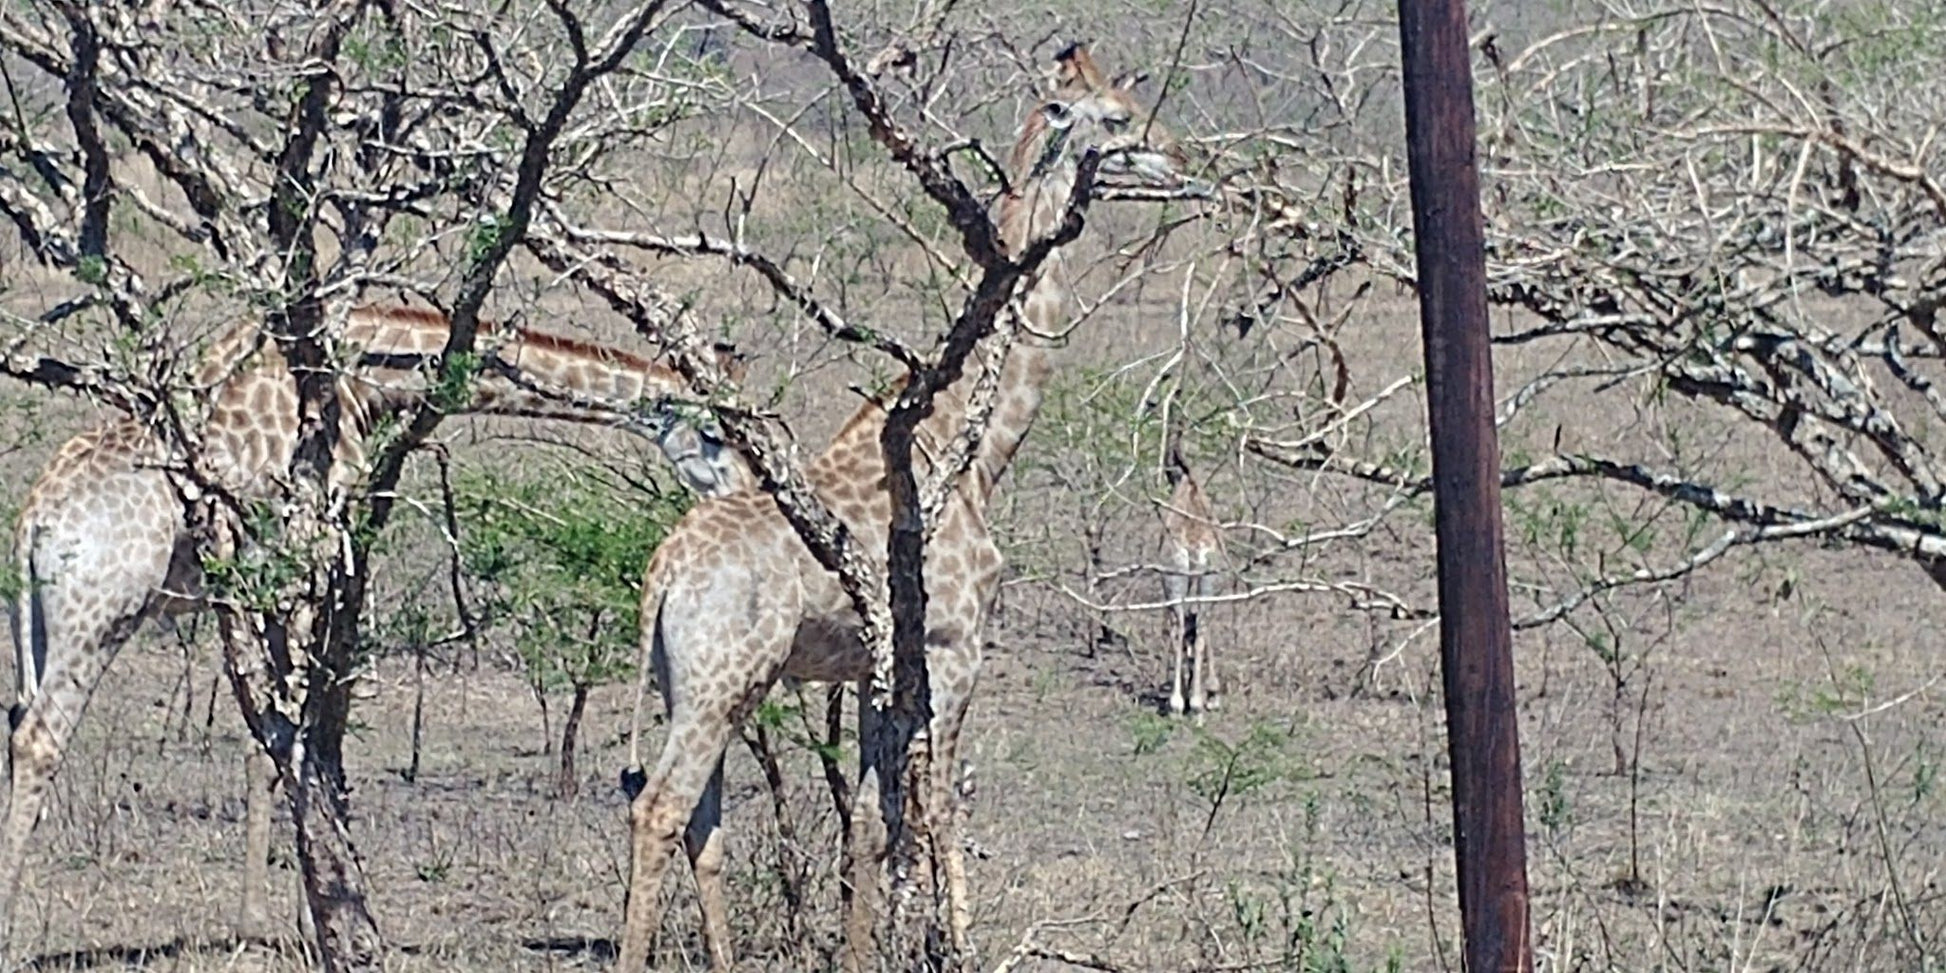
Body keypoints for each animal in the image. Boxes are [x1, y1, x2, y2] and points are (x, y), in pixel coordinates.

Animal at [1, 303, 743, 949]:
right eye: (713, 433)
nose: (744, 489)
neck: (360, 374)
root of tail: (33, 521)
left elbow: (282, 736)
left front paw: (298, 914)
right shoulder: (308, 539)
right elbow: (293, 735)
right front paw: (297, 920)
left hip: (37, 625)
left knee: (17, 723)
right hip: (99, 615)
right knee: (40, 738)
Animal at [614, 47, 1175, 973]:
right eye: (1120, 118)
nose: (1180, 157)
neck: (973, 455)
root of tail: (662, 572)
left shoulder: (882, 671)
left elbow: (875, 821)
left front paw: (866, 948)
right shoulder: (952, 648)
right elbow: (940, 804)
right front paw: (957, 943)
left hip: (692, 684)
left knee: (702, 819)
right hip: (719, 679)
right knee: (658, 807)